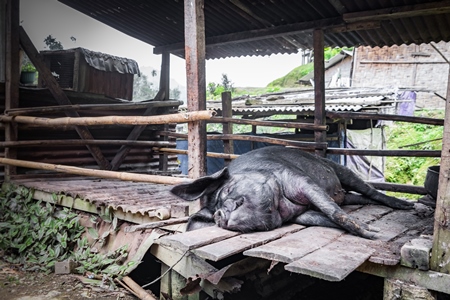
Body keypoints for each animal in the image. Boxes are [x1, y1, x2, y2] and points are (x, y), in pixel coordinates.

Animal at [171, 145, 414, 239]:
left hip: (340, 170)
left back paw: (408, 206)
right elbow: (325, 218)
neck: (282, 205)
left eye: (227, 191)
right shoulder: (302, 215)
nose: (221, 213)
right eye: (214, 214)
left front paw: (373, 233)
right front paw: (372, 231)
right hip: (346, 195)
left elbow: (330, 209)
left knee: (368, 191)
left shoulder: (298, 179)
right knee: (355, 198)